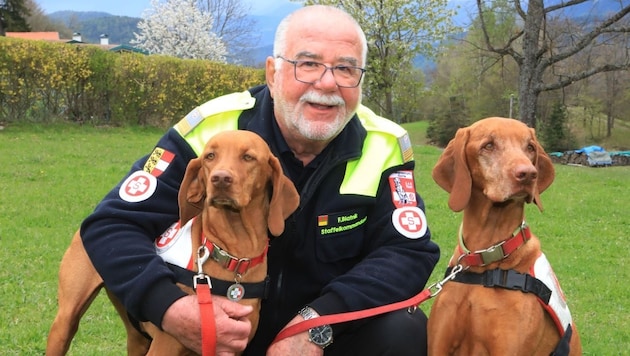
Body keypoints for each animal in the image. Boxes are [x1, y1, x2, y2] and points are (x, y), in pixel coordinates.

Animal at [47, 131, 298, 356]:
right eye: (210, 156)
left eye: (248, 157)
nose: (220, 179)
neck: (233, 253)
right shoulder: (165, 347)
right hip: (65, 323)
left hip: (136, 337)